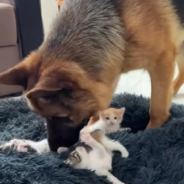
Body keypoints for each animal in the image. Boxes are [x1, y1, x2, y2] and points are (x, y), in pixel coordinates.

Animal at [0, 0, 184, 151]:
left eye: (60, 117)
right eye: (43, 117)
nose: (53, 150)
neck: (119, 20)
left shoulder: (162, 60)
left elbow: (157, 109)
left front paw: (150, 132)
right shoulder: (108, 78)